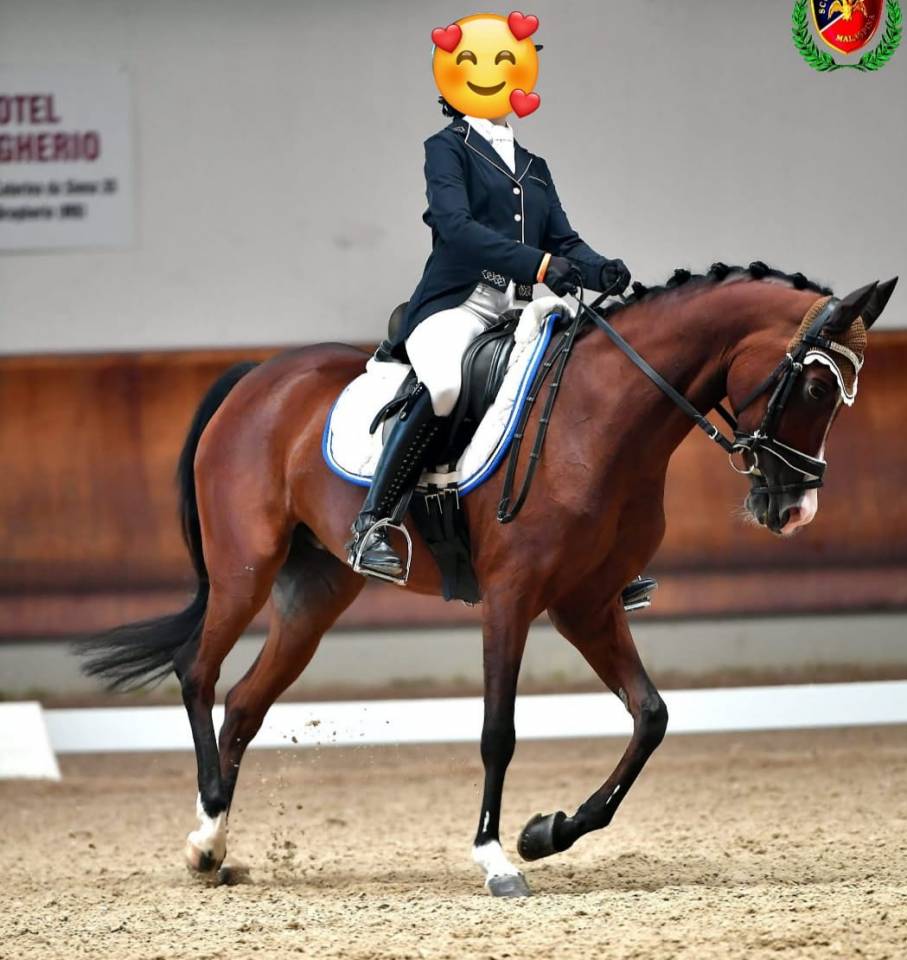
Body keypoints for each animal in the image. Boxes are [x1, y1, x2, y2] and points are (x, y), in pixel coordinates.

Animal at [77, 262, 896, 897]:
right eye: (815, 391)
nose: (792, 510)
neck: (604, 419)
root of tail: (258, 375)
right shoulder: (512, 599)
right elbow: (498, 731)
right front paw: (497, 859)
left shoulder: (588, 604)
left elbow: (651, 717)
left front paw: (547, 832)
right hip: (243, 569)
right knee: (197, 670)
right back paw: (206, 835)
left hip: (316, 591)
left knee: (246, 701)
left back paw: (213, 847)